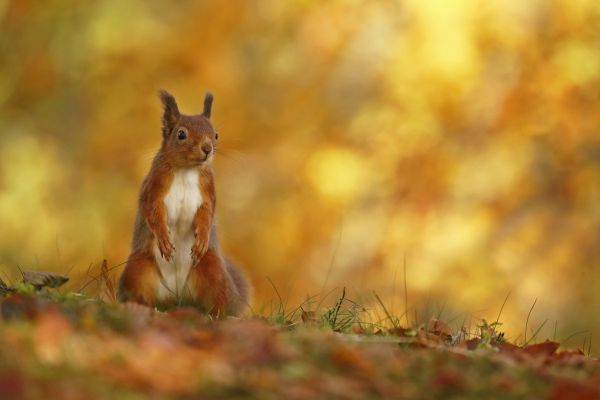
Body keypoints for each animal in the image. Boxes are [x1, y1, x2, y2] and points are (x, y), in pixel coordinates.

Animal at [118, 90, 250, 316]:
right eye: (181, 134)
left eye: (216, 134)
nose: (207, 148)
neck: (186, 171)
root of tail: (176, 295)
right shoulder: (153, 188)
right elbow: (152, 210)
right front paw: (163, 238)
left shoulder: (208, 191)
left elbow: (207, 213)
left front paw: (202, 237)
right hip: (139, 268)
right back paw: (139, 307)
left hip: (213, 270)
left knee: (219, 299)